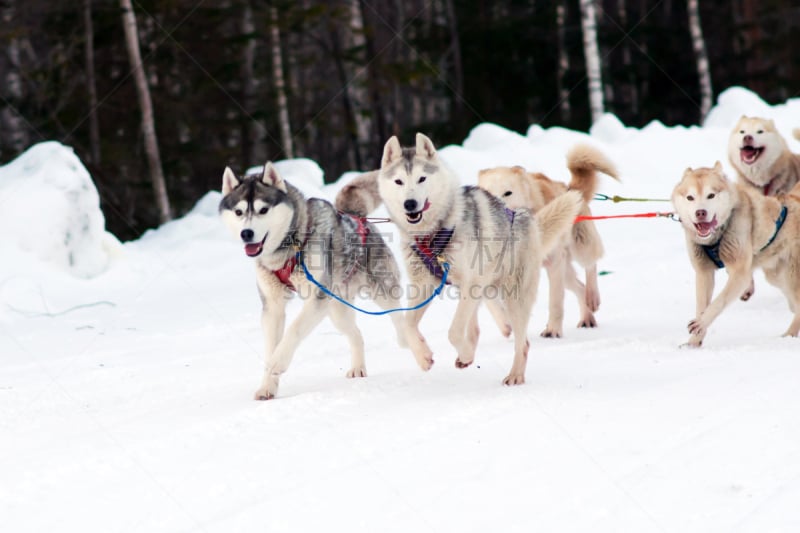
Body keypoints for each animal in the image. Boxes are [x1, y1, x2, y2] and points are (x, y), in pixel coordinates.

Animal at [219, 162, 406, 400]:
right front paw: (267, 386)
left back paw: (408, 339)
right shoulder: (273, 307)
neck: (288, 250)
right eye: (239, 212)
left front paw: (277, 362)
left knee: (398, 314)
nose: (246, 233)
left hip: (379, 291)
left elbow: (294, 329)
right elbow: (271, 346)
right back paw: (358, 367)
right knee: (356, 334)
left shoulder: (317, 296)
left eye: (263, 210)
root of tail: (355, 216)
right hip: (337, 311)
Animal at [338, 132, 580, 382]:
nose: (410, 204)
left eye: (422, 179)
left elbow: (453, 332)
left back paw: (514, 375)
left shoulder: (469, 283)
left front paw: (463, 354)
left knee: (522, 344)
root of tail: (526, 219)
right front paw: (423, 356)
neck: (432, 234)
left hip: (512, 296)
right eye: (399, 181)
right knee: (475, 328)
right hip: (478, 291)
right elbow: (407, 324)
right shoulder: (424, 285)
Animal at [476, 143, 620, 334]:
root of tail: (569, 189)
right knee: (579, 287)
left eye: (508, 193)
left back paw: (592, 296)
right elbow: (490, 299)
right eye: (486, 193)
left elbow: (555, 302)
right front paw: (505, 323)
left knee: (591, 267)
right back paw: (586, 317)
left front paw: (552, 331)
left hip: (580, 248)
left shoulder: (554, 264)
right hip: (565, 273)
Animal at [668, 160, 800, 348]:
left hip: (791, 275)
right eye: (690, 197)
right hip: (776, 276)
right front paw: (693, 343)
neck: (717, 236)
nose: (700, 213)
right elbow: (702, 306)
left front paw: (700, 323)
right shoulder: (704, 273)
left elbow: (718, 302)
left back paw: (789, 335)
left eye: (711, 195)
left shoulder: (739, 273)